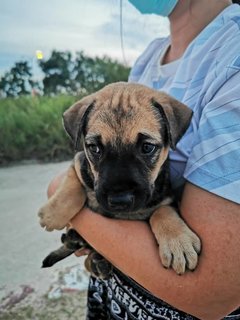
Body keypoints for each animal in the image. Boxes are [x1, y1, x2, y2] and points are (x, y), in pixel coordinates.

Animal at [39, 82, 201, 278]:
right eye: (94, 148)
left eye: (147, 147)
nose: (119, 200)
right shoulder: (79, 161)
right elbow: (72, 185)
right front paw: (52, 214)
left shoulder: (168, 200)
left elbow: (162, 211)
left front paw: (178, 241)